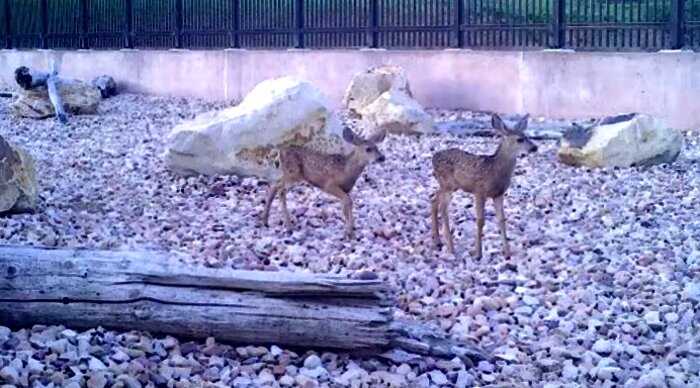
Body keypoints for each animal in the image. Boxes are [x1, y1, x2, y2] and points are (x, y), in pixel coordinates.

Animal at [432, 113, 536, 260]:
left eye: (527, 136)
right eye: (519, 139)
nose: (535, 148)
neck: (495, 170)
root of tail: (433, 157)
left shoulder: (498, 194)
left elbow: (501, 220)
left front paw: (507, 252)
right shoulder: (479, 191)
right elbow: (480, 221)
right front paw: (478, 253)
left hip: (448, 185)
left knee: (434, 199)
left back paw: (437, 241)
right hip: (448, 184)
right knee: (443, 209)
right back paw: (451, 248)